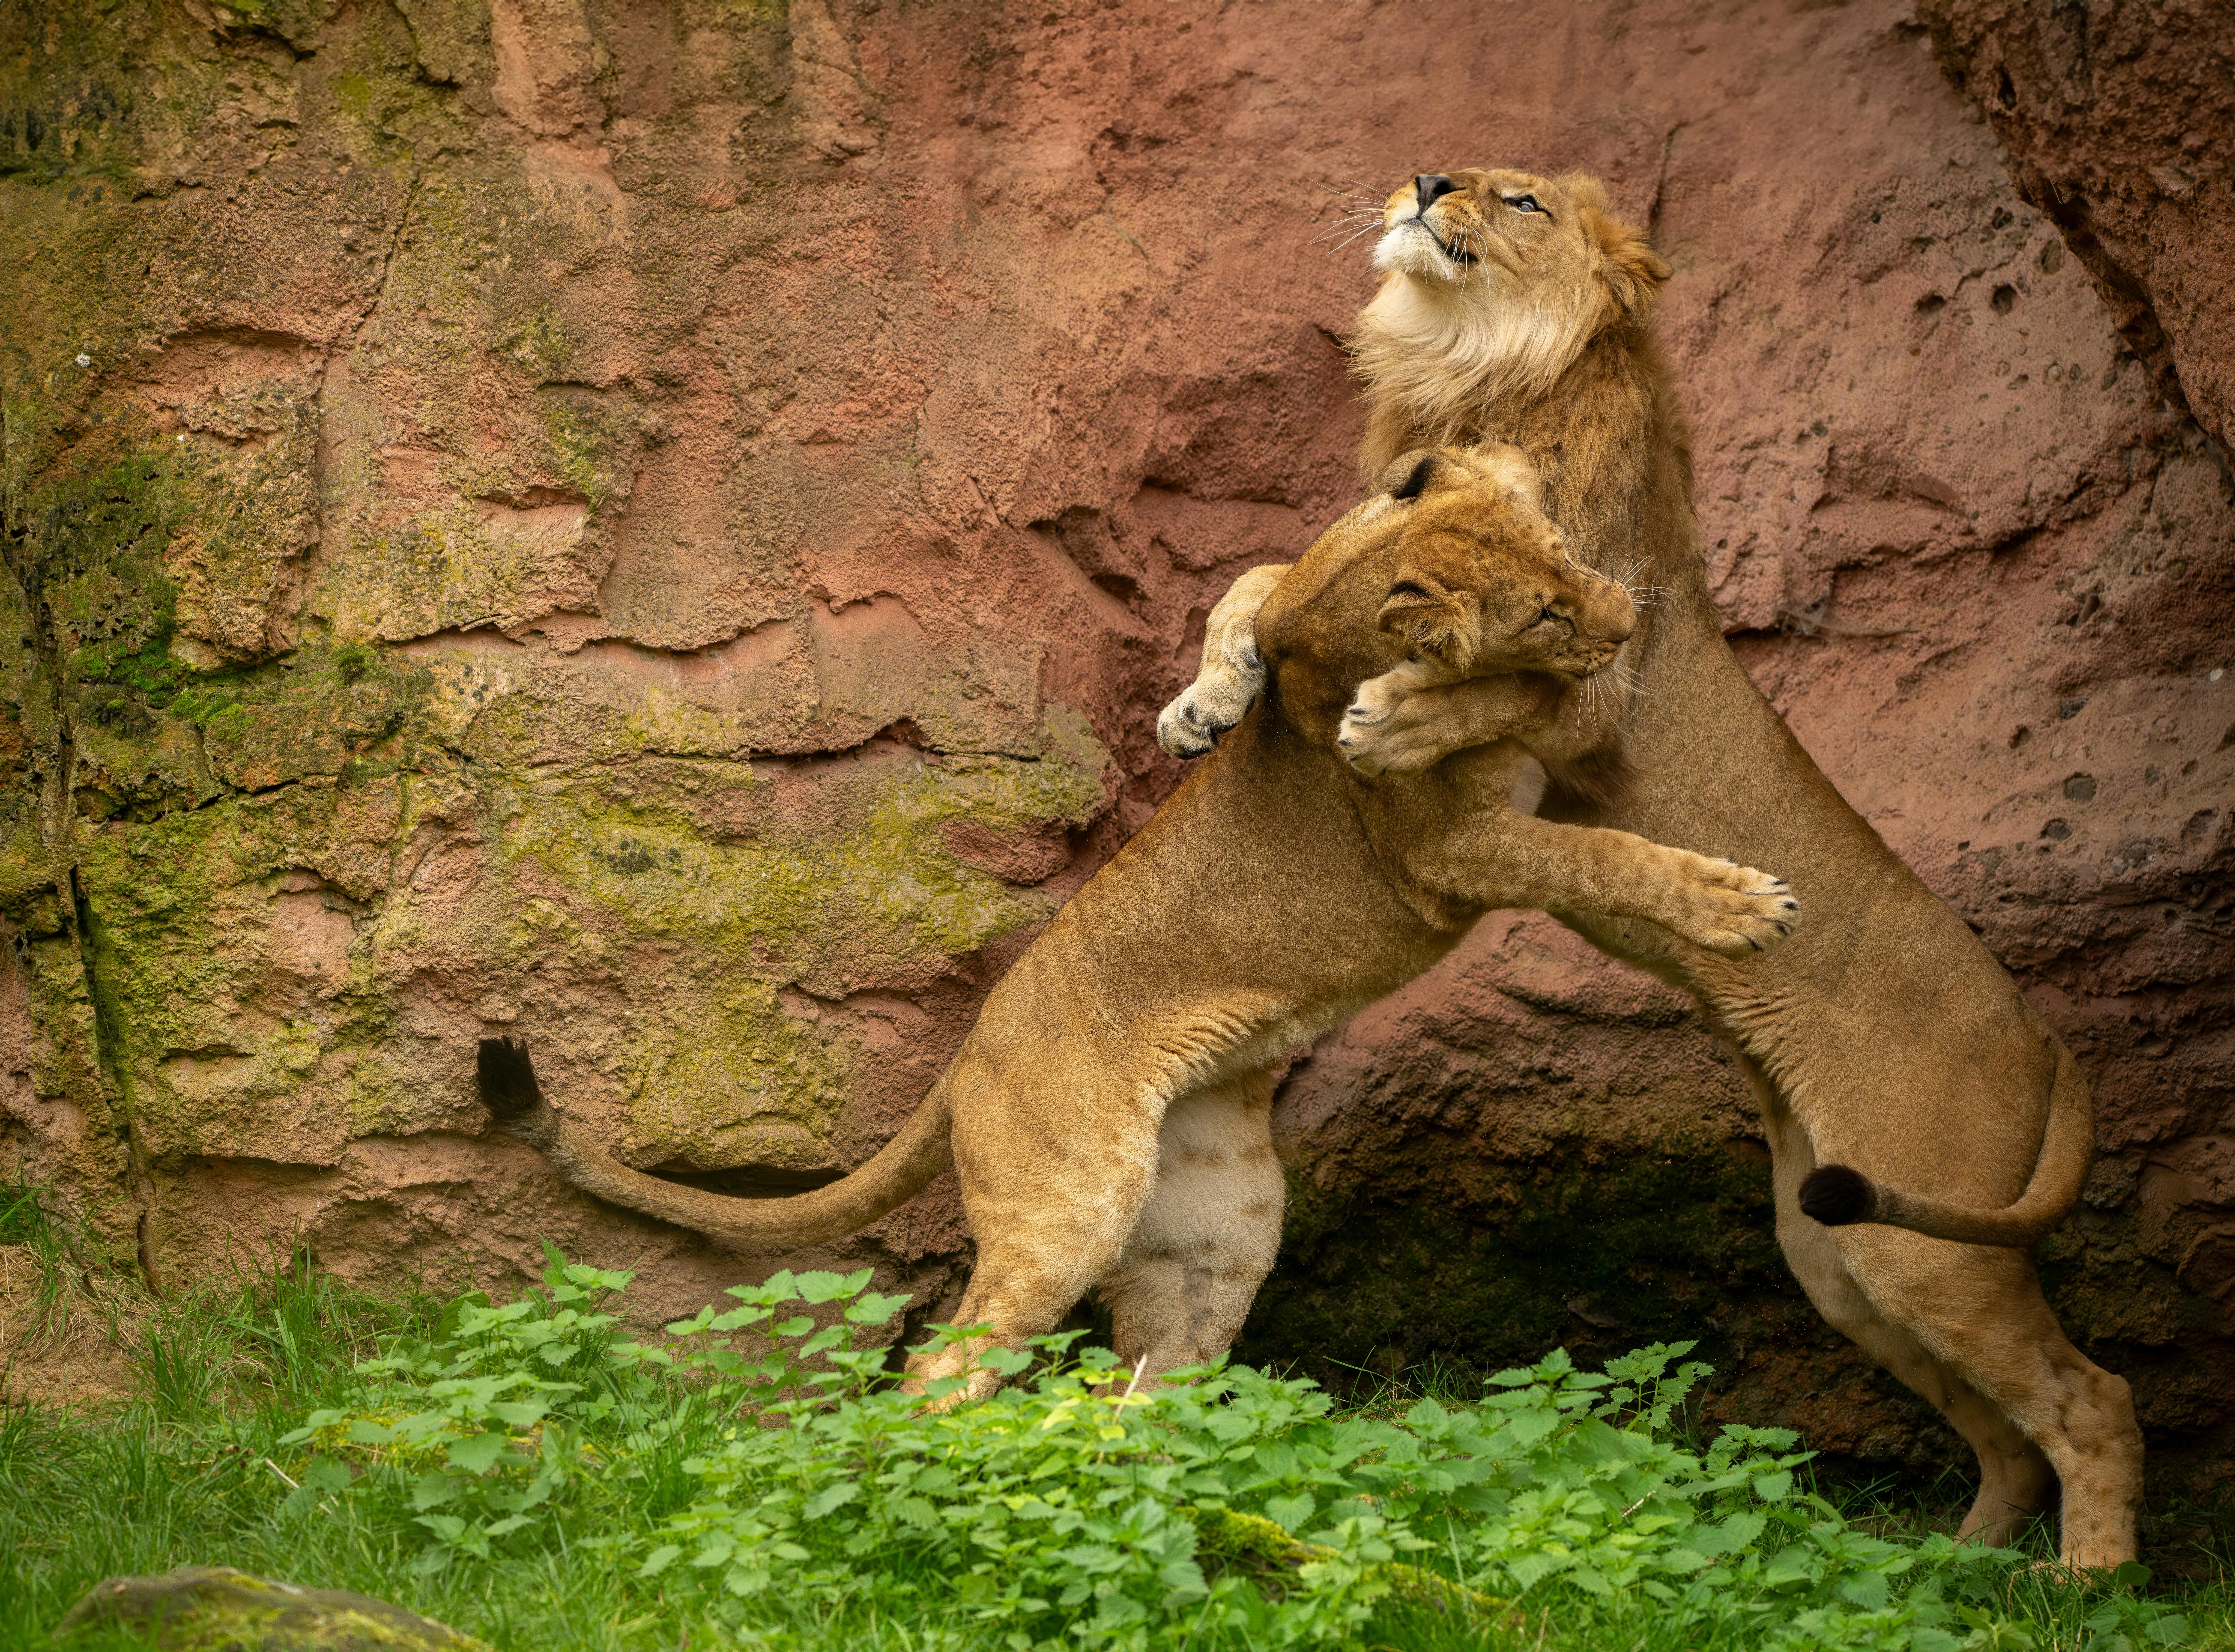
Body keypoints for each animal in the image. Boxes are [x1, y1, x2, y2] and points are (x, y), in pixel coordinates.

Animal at [477, 443, 1798, 1404]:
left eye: (1566, 549)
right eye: (1540, 612)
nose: (1626, 616)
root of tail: (965, 1055)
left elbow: (1256, 597)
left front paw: (1228, 703)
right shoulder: (1445, 849)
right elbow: (1590, 835)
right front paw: (1740, 904)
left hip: (1222, 1232)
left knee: (1144, 1385)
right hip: (1072, 1201)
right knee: (941, 1369)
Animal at [1157, 169, 2141, 1567]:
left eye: (1515, 196)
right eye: (1453, 169)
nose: (1426, 181)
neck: (1474, 378)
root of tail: (2048, 1036)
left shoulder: (1601, 666)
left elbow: (1487, 679)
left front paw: (1386, 717)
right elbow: (1251, 579)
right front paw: (1202, 701)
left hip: (1929, 1246)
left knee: (2090, 1399)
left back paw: (2086, 1583)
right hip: (1842, 1249)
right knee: (2003, 1425)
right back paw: (1954, 1564)